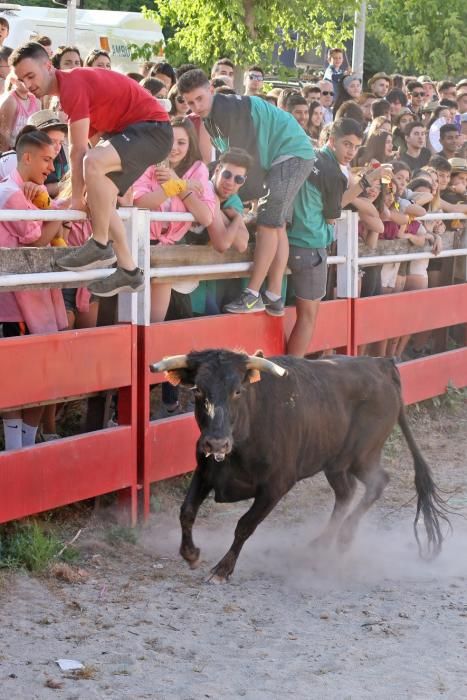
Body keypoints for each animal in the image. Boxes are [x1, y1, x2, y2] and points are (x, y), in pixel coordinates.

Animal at [152, 348, 452, 584]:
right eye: (198, 390)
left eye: (238, 391)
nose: (216, 443)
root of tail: (380, 364)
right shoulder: (205, 472)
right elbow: (187, 511)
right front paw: (191, 554)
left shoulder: (276, 486)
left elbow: (245, 525)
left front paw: (223, 570)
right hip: (335, 462)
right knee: (346, 492)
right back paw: (321, 543)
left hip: (363, 455)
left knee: (378, 482)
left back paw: (344, 537)